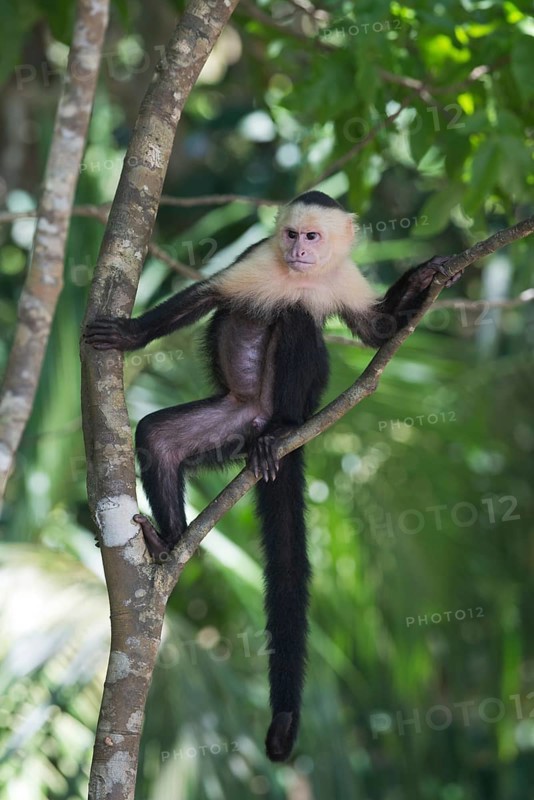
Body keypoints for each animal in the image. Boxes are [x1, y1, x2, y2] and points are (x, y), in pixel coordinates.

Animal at [85, 190, 457, 762]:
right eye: (290, 235)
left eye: (313, 237)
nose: (299, 250)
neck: (302, 275)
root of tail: (260, 423)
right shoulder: (257, 260)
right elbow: (206, 296)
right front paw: (130, 334)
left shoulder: (343, 278)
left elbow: (376, 331)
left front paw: (420, 283)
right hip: (230, 422)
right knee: (158, 439)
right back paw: (169, 543)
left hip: (286, 409)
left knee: (299, 321)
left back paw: (280, 427)